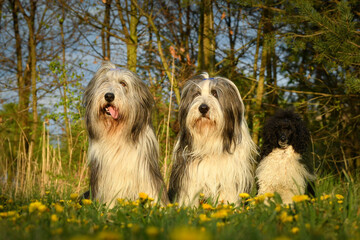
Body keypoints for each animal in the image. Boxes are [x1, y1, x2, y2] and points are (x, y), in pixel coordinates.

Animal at [167, 72, 258, 205]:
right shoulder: (190, 175)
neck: (209, 140)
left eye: (215, 93)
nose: (203, 108)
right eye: (197, 94)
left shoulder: (229, 178)